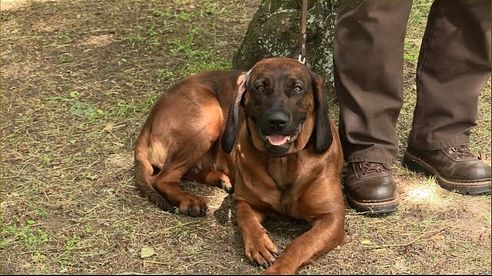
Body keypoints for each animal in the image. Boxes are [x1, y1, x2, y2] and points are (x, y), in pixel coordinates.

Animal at [133, 57, 344, 274]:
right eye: (260, 87)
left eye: (297, 88)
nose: (277, 121)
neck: (282, 161)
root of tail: (150, 118)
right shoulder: (245, 202)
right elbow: (246, 220)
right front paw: (259, 245)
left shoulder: (332, 218)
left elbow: (300, 244)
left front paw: (278, 269)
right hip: (208, 116)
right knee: (163, 178)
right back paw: (189, 200)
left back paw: (221, 179)